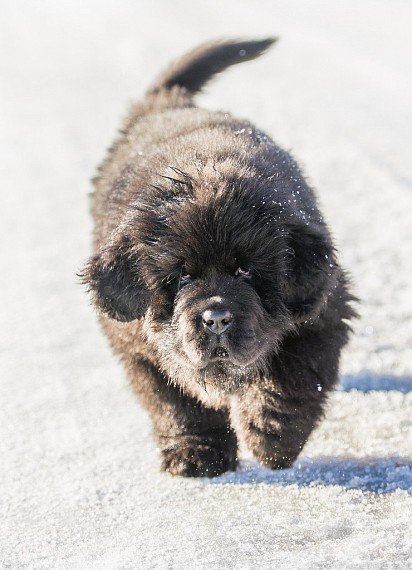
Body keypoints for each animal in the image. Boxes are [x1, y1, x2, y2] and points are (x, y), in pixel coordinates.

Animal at [82, 38, 356, 474]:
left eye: (246, 271)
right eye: (181, 277)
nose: (216, 318)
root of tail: (165, 104)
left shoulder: (321, 312)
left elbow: (291, 379)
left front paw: (269, 435)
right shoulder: (136, 344)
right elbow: (177, 402)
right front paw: (197, 454)